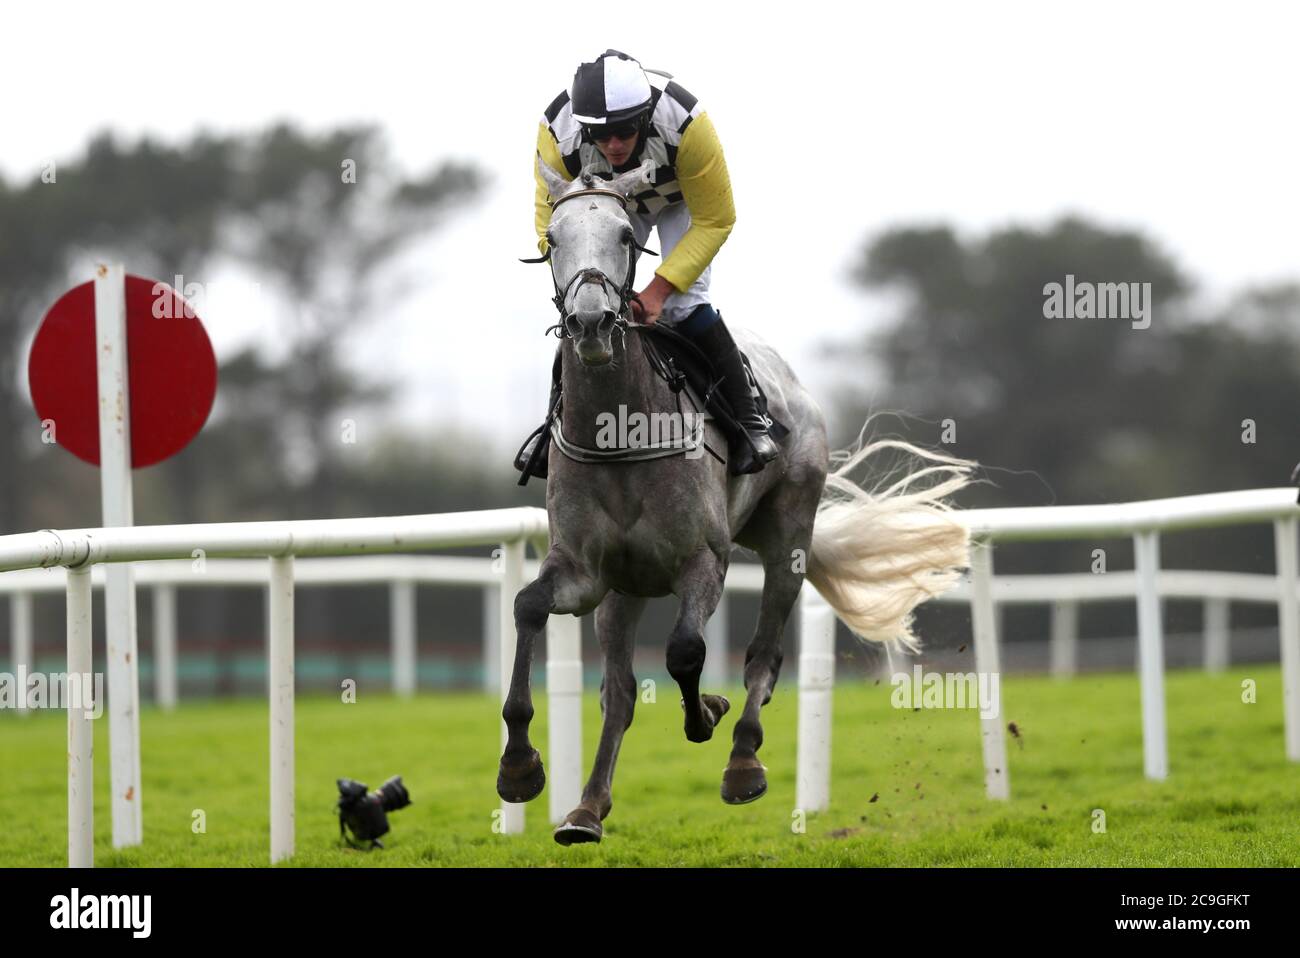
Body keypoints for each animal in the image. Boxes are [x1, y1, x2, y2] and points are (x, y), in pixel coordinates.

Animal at [499, 158, 977, 842]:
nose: (590, 323)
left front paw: (708, 710)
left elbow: (687, 651)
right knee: (619, 692)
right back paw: (587, 809)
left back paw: (743, 760)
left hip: (789, 540)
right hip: (623, 591)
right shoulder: (584, 572)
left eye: (625, 234)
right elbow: (528, 607)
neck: (619, 434)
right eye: (552, 239)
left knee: (764, 656)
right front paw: (517, 765)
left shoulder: (706, 559)